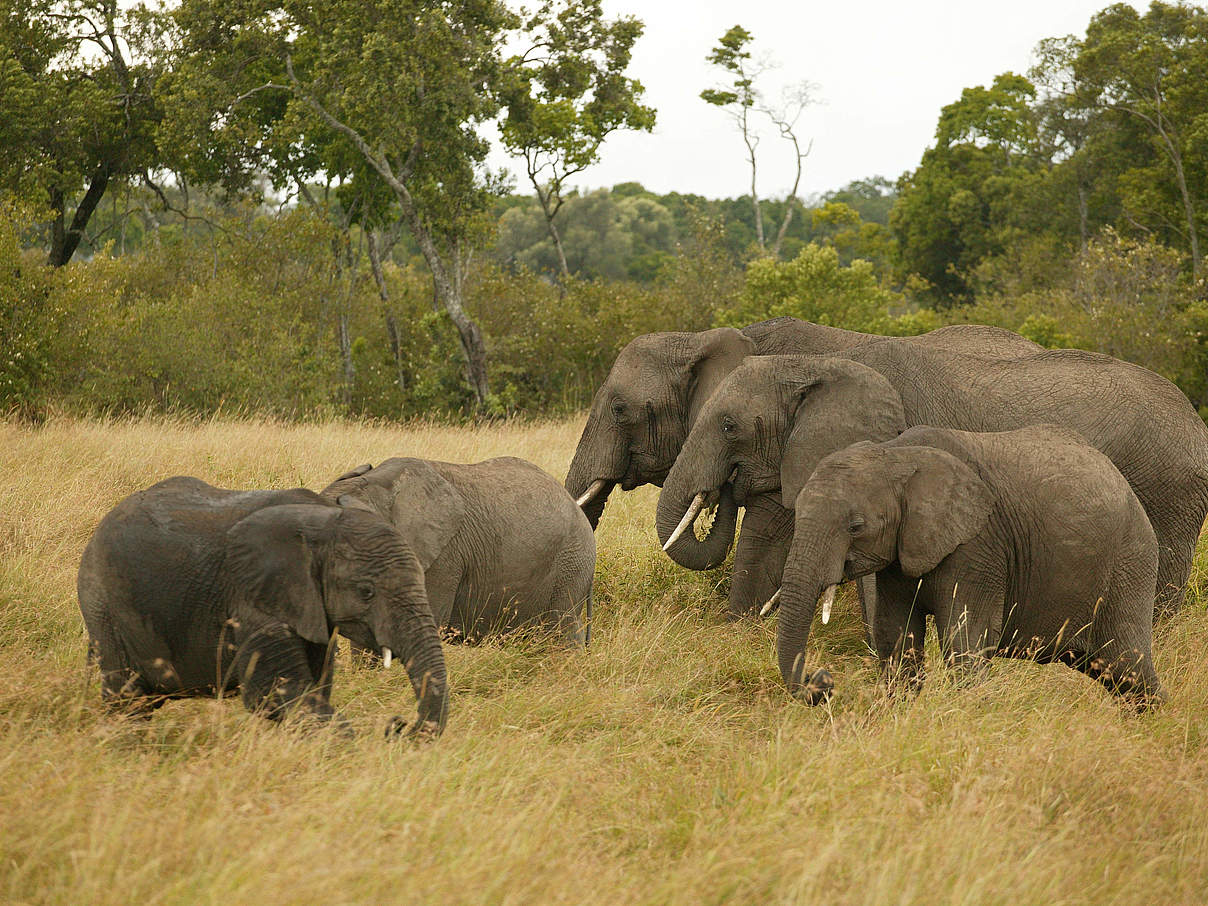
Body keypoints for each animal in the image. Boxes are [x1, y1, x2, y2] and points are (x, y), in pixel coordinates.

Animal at [79, 478, 449, 734]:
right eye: (366, 591)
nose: (398, 725)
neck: (323, 518)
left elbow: (314, 691)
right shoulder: (252, 600)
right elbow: (277, 694)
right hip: (103, 605)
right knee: (128, 701)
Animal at [773, 425, 1159, 710]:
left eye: (855, 526)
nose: (823, 680)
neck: (896, 454)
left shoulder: (978, 547)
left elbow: (964, 642)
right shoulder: (899, 552)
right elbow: (895, 638)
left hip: (1131, 559)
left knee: (1127, 666)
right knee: (1109, 669)